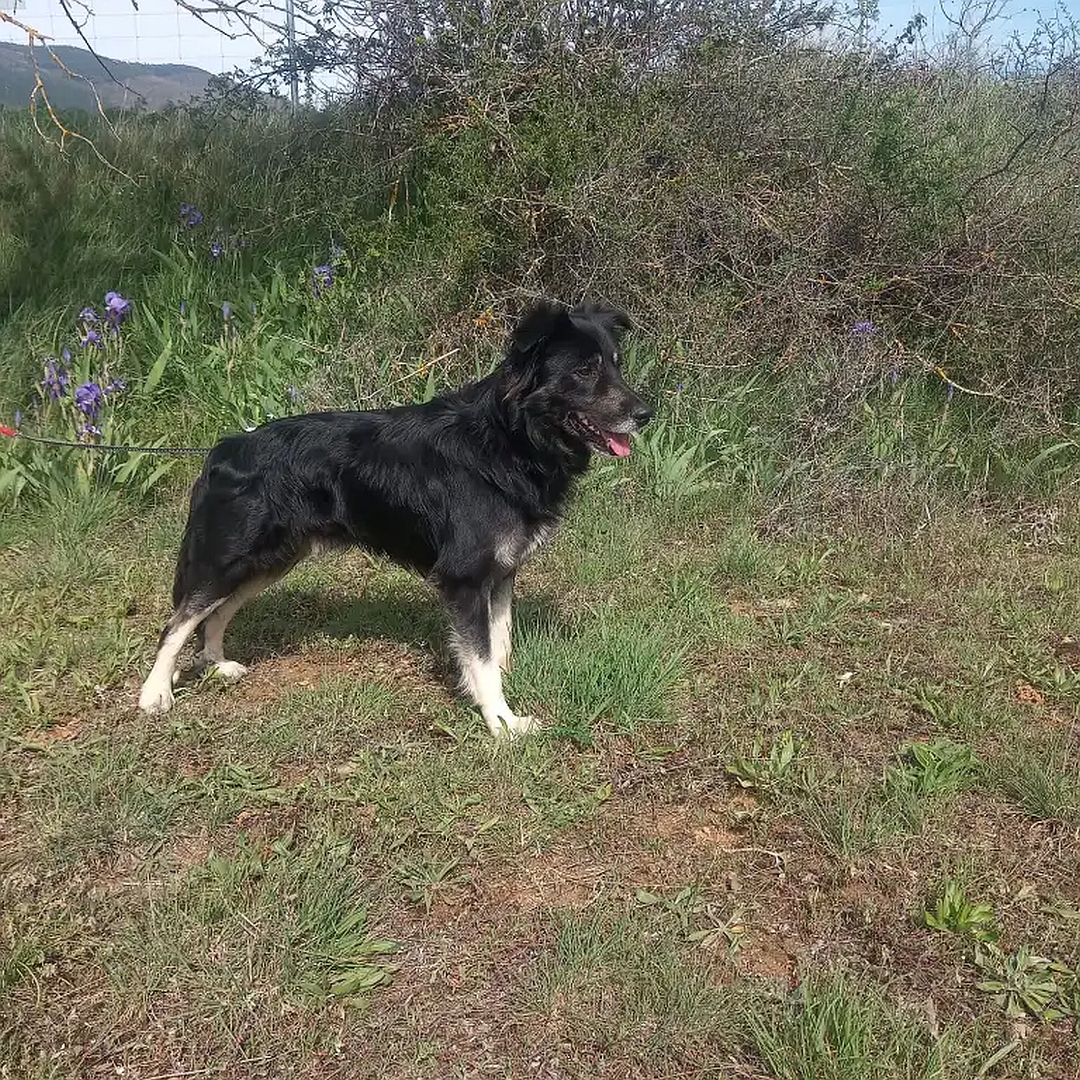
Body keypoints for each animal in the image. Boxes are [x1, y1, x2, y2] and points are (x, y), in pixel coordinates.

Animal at [139, 298, 652, 734]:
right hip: (231, 559)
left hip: (269, 561)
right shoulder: (465, 577)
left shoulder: (503, 570)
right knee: (177, 623)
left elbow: (499, 641)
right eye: (584, 370)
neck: (510, 439)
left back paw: (217, 664)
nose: (647, 414)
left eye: (617, 364)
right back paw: (155, 694)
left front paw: (502, 693)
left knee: (216, 613)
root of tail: (223, 449)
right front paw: (502, 722)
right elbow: (482, 657)